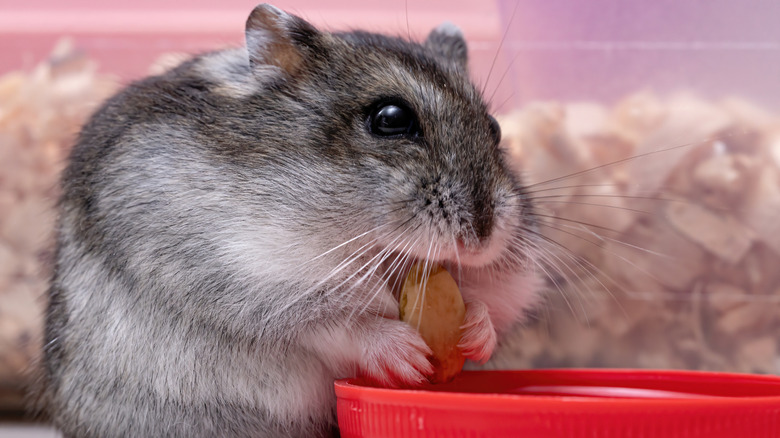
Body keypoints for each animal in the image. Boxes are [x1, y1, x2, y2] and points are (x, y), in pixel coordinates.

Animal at [36, 4, 541, 437]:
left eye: (495, 129)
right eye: (391, 118)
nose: (481, 238)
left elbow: (493, 299)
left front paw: (477, 334)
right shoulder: (252, 278)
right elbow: (334, 322)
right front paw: (409, 356)